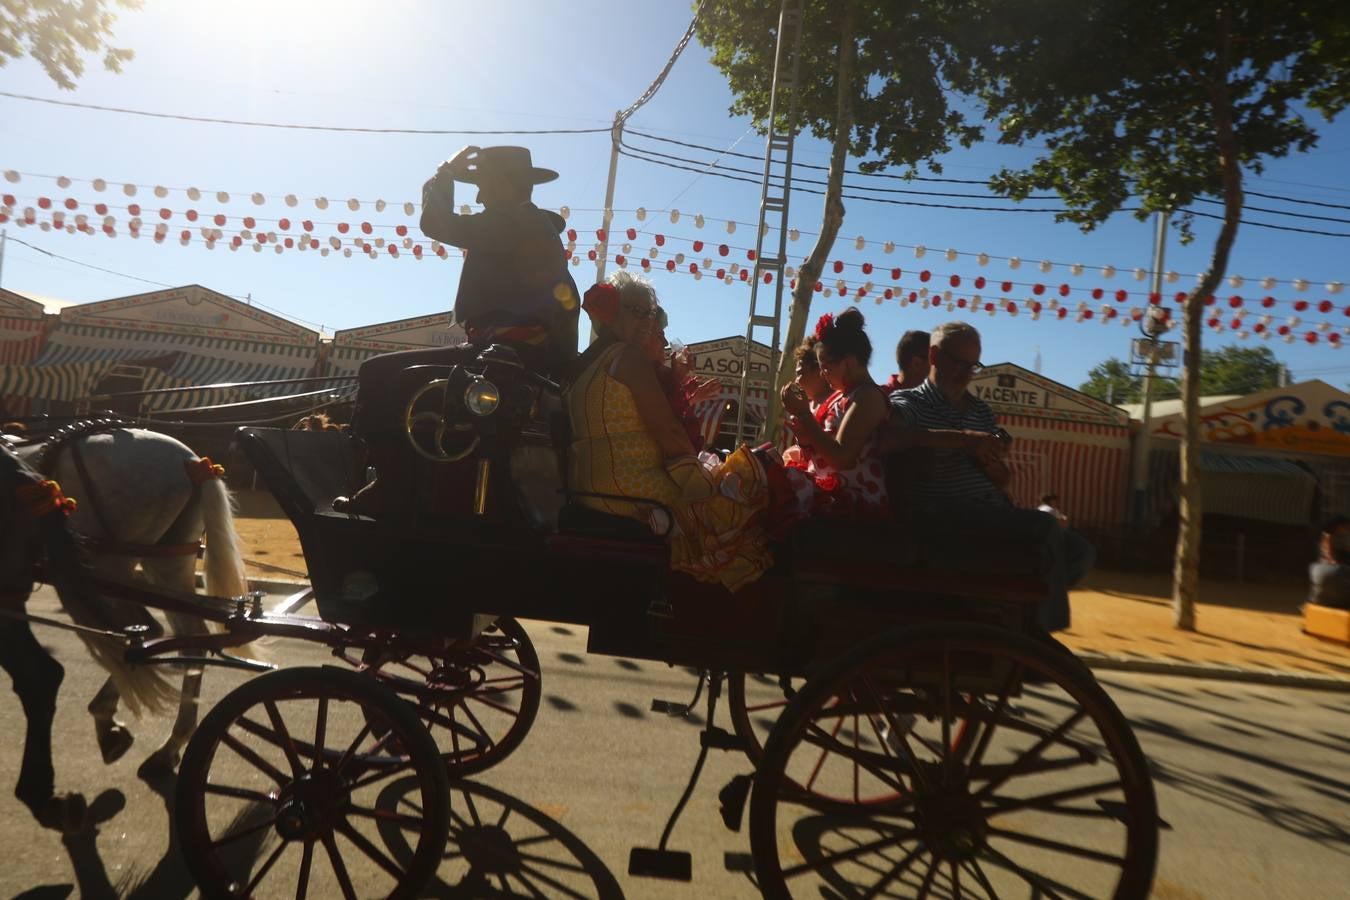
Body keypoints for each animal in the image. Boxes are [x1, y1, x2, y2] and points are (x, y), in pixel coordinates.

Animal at [15, 426, 249, 777]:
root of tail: (192, 463)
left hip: (108, 568)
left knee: (141, 632)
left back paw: (108, 718)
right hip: (167, 564)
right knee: (188, 639)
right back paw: (168, 746)